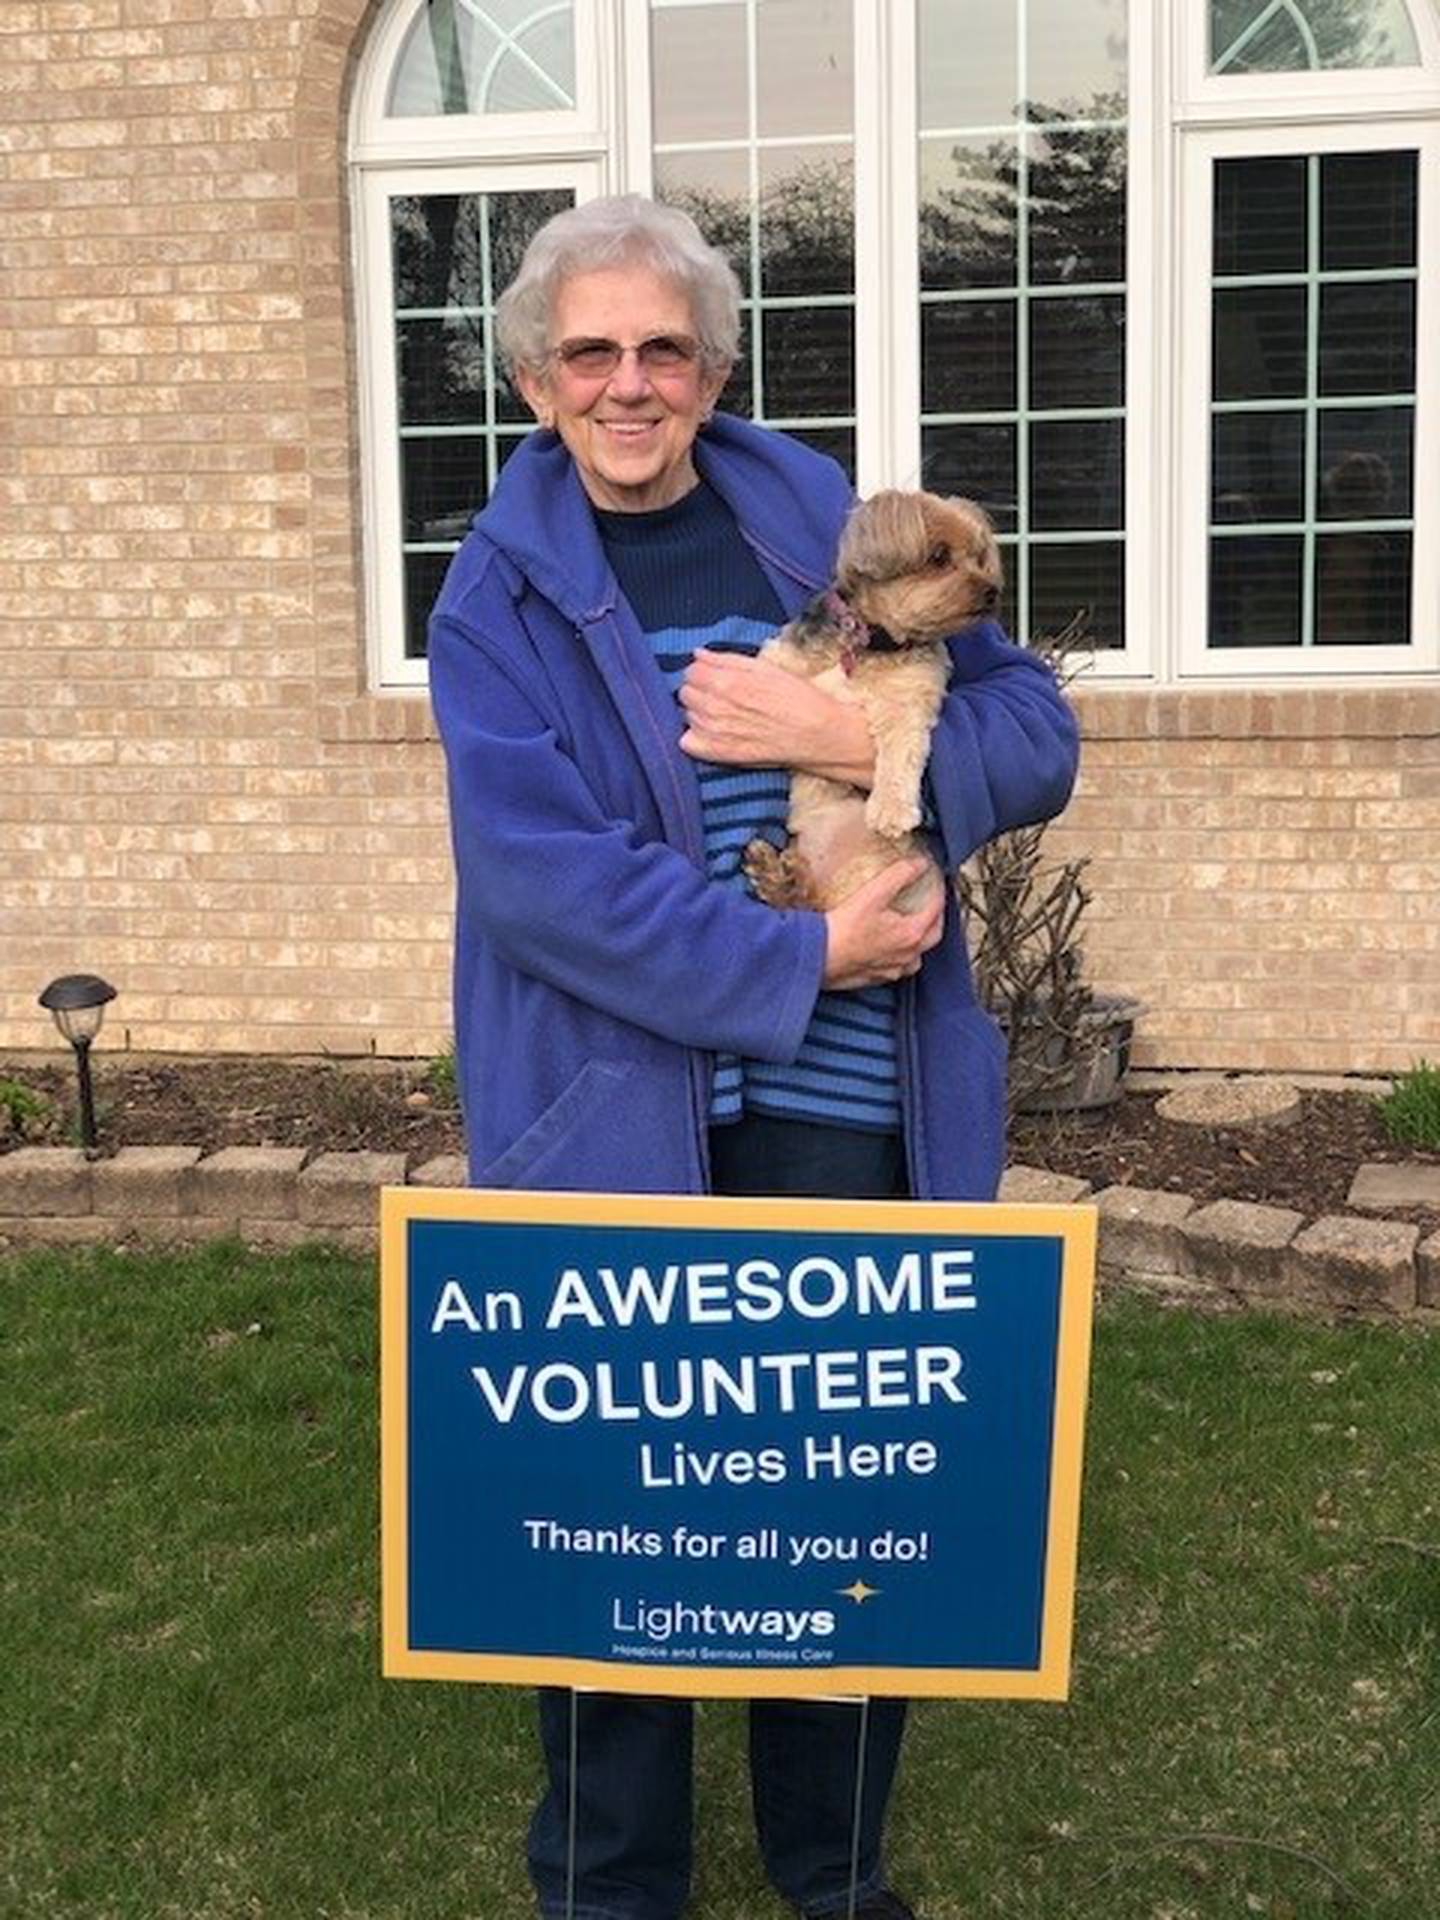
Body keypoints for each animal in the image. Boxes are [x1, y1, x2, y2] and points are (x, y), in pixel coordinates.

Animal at [744, 491, 1006, 917]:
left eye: (979, 556)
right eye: (938, 556)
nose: (992, 590)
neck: (869, 643)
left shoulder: (909, 705)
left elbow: (900, 755)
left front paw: (892, 810)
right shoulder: (784, 661)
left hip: (879, 866)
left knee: (809, 900)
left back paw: (779, 875)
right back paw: (772, 872)